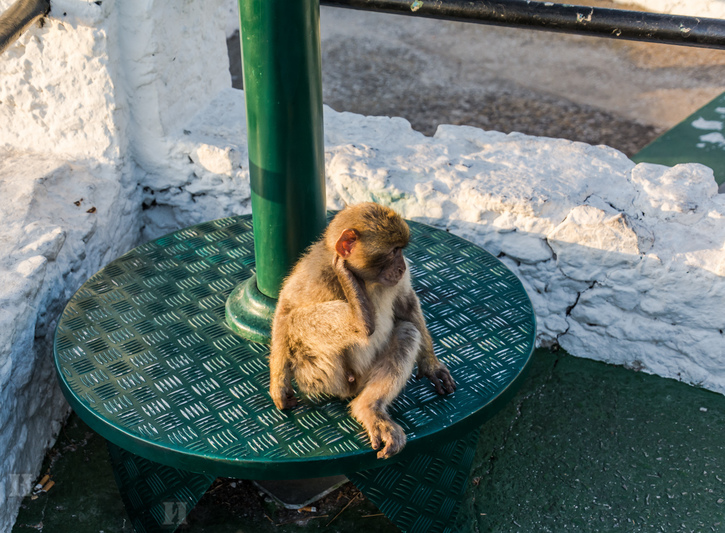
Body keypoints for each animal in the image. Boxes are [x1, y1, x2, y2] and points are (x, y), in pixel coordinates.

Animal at [268, 202, 456, 460]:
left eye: (401, 250)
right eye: (393, 251)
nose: (402, 266)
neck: (365, 280)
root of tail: (352, 387)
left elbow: (406, 305)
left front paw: (431, 365)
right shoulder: (314, 272)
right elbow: (286, 310)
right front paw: (279, 384)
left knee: (407, 331)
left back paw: (368, 407)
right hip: (322, 376)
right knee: (296, 322)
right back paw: (360, 320)